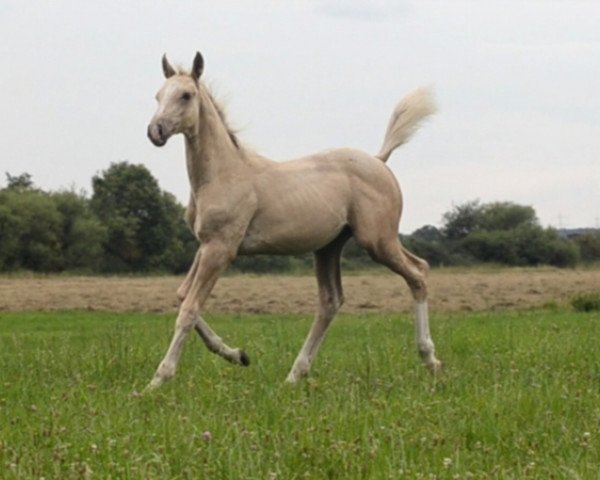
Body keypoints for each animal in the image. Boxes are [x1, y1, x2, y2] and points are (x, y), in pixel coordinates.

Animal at [145, 51, 440, 390]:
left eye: (186, 95)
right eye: (158, 95)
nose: (155, 131)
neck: (222, 174)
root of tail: (380, 160)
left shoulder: (221, 248)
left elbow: (189, 309)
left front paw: (156, 381)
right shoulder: (205, 245)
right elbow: (182, 295)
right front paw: (238, 355)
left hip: (377, 240)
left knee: (418, 273)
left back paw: (431, 360)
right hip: (330, 247)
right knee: (331, 300)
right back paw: (294, 376)